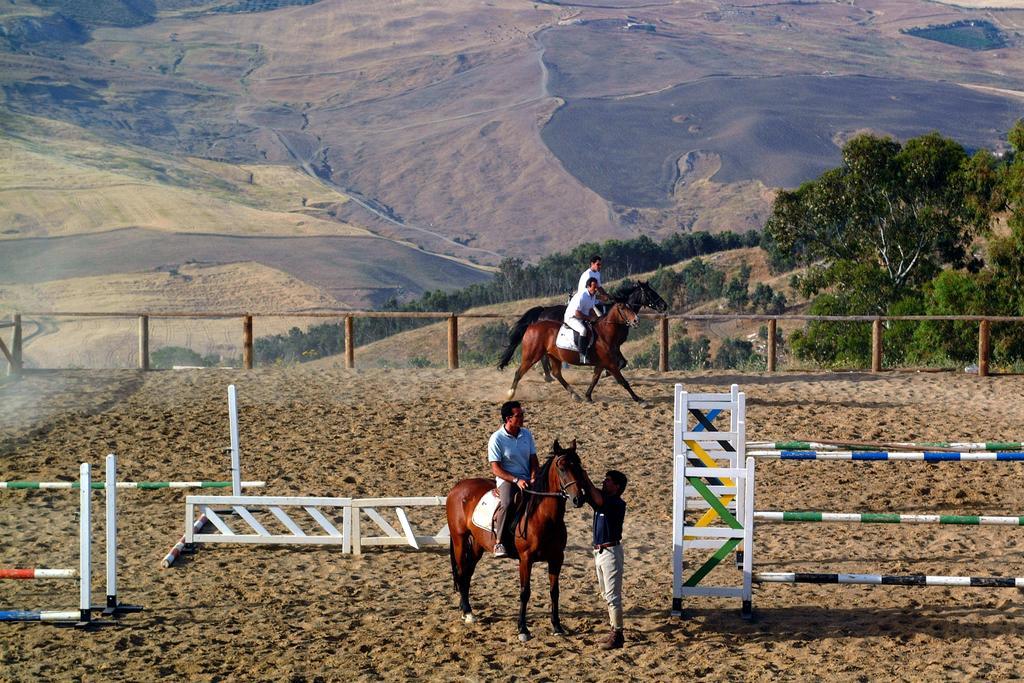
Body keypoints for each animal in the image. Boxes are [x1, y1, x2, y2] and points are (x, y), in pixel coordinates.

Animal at [446, 440, 589, 643]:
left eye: (578, 465)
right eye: (561, 467)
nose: (579, 498)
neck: (544, 516)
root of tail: (458, 487)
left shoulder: (556, 558)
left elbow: (555, 592)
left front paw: (557, 626)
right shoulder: (525, 559)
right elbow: (525, 592)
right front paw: (523, 629)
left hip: (477, 545)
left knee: (467, 573)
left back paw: (466, 609)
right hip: (459, 539)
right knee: (460, 571)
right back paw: (467, 612)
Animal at [495, 303, 638, 403]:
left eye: (631, 307)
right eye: (623, 309)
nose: (636, 320)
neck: (604, 333)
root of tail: (531, 326)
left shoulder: (602, 362)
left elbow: (595, 378)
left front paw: (588, 396)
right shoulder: (609, 363)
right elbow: (622, 381)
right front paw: (638, 399)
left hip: (554, 356)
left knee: (557, 373)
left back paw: (575, 395)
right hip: (531, 356)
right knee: (519, 373)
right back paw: (510, 394)